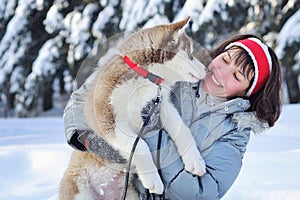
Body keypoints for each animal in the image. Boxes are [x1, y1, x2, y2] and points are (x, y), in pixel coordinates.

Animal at [60, 16, 207, 198]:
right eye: (189, 53)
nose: (206, 69)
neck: (145, 76)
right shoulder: (106, 120)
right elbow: (139, 145)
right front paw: (153, 179)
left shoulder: (161, 105)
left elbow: (182, 130)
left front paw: (195, 160)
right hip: (79, 189)